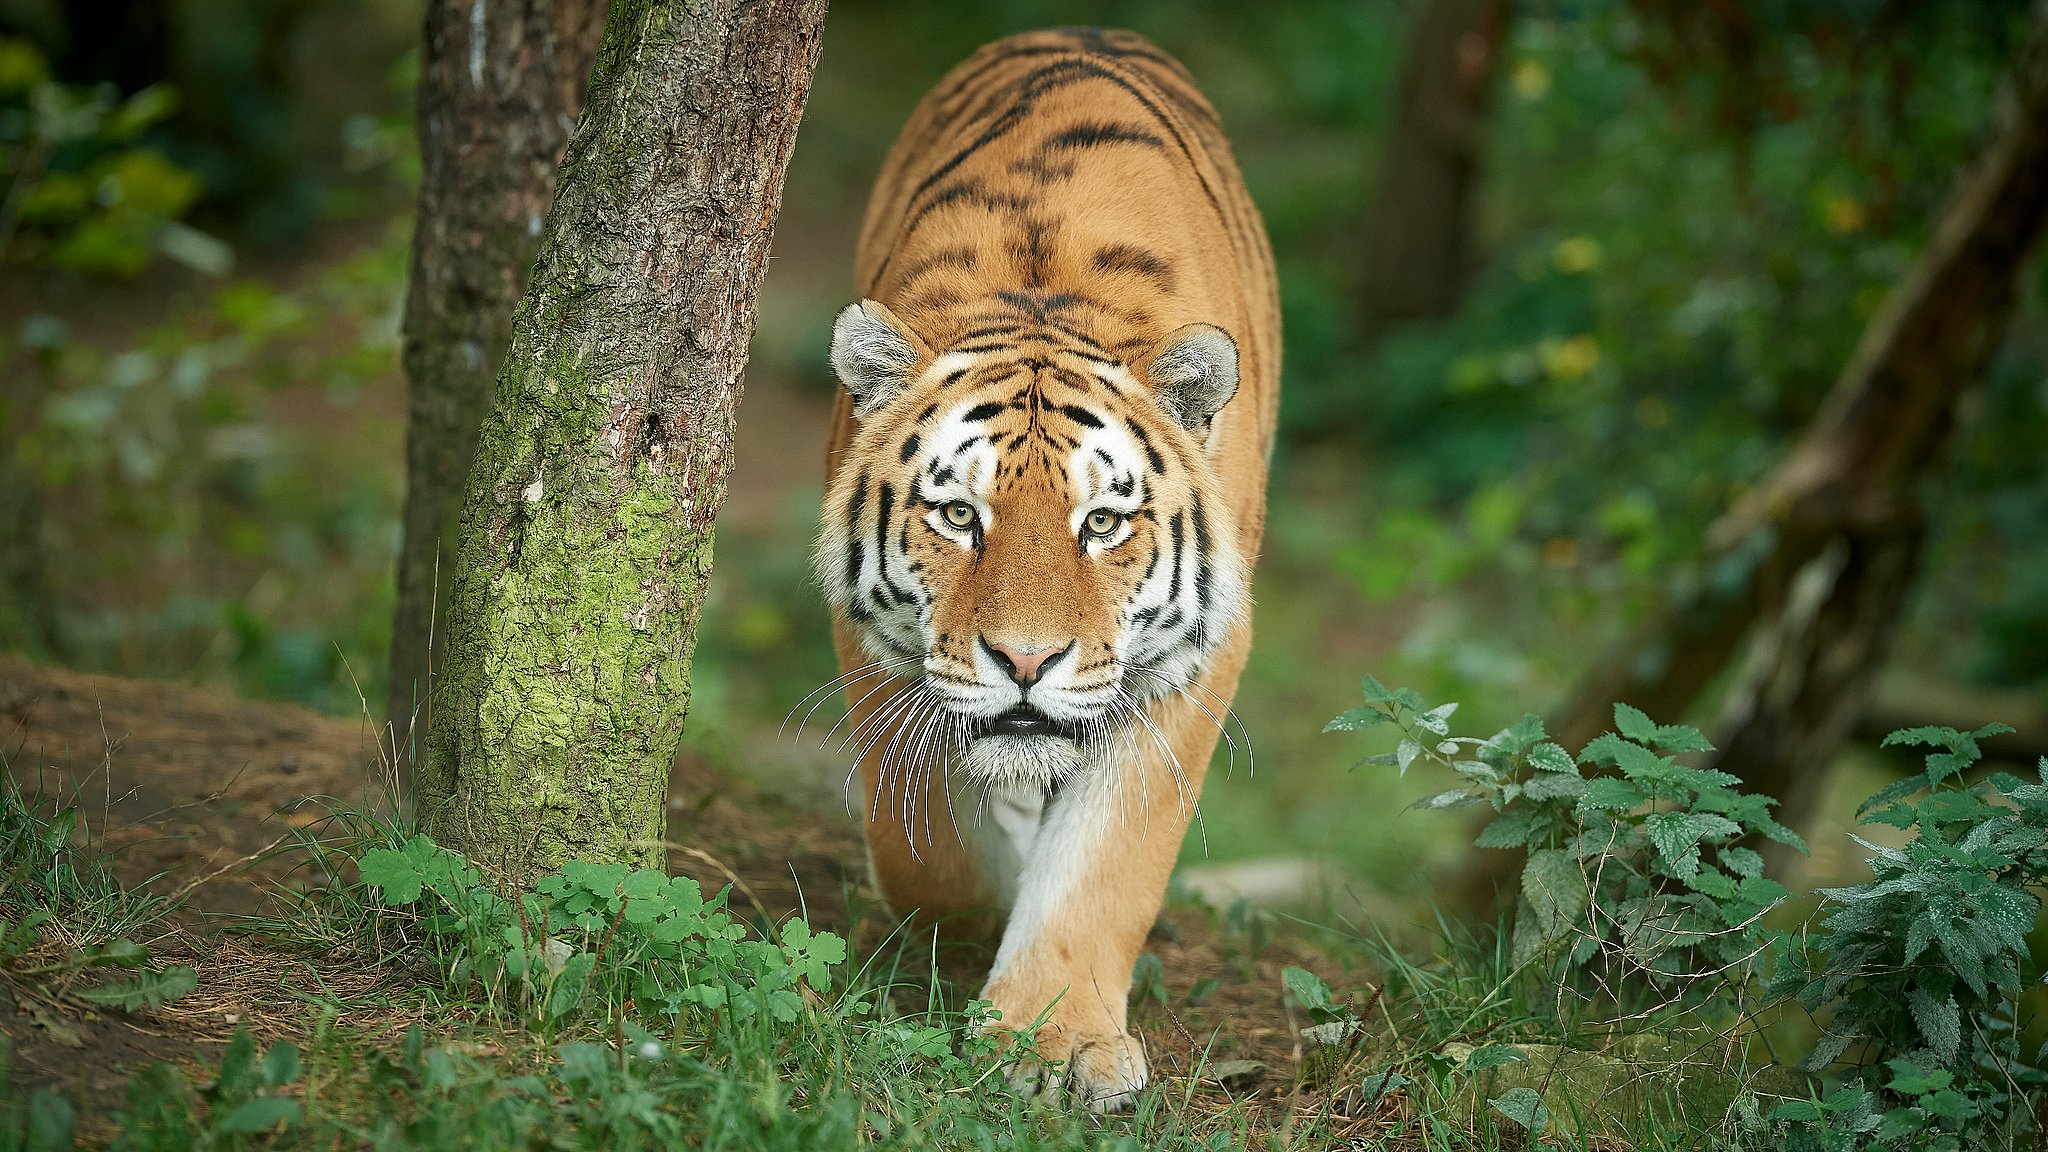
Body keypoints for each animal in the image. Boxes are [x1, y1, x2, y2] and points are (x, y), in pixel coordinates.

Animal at [815, 24, 1277, 1106]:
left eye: (1102, 524)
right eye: (957, 514)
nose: (1025, 663)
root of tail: (1083, 28)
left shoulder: (1192, 660)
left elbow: (1108, 858)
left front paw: (1052, 1042)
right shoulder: (879, 649)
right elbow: (921, 847)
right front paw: (988, 911)